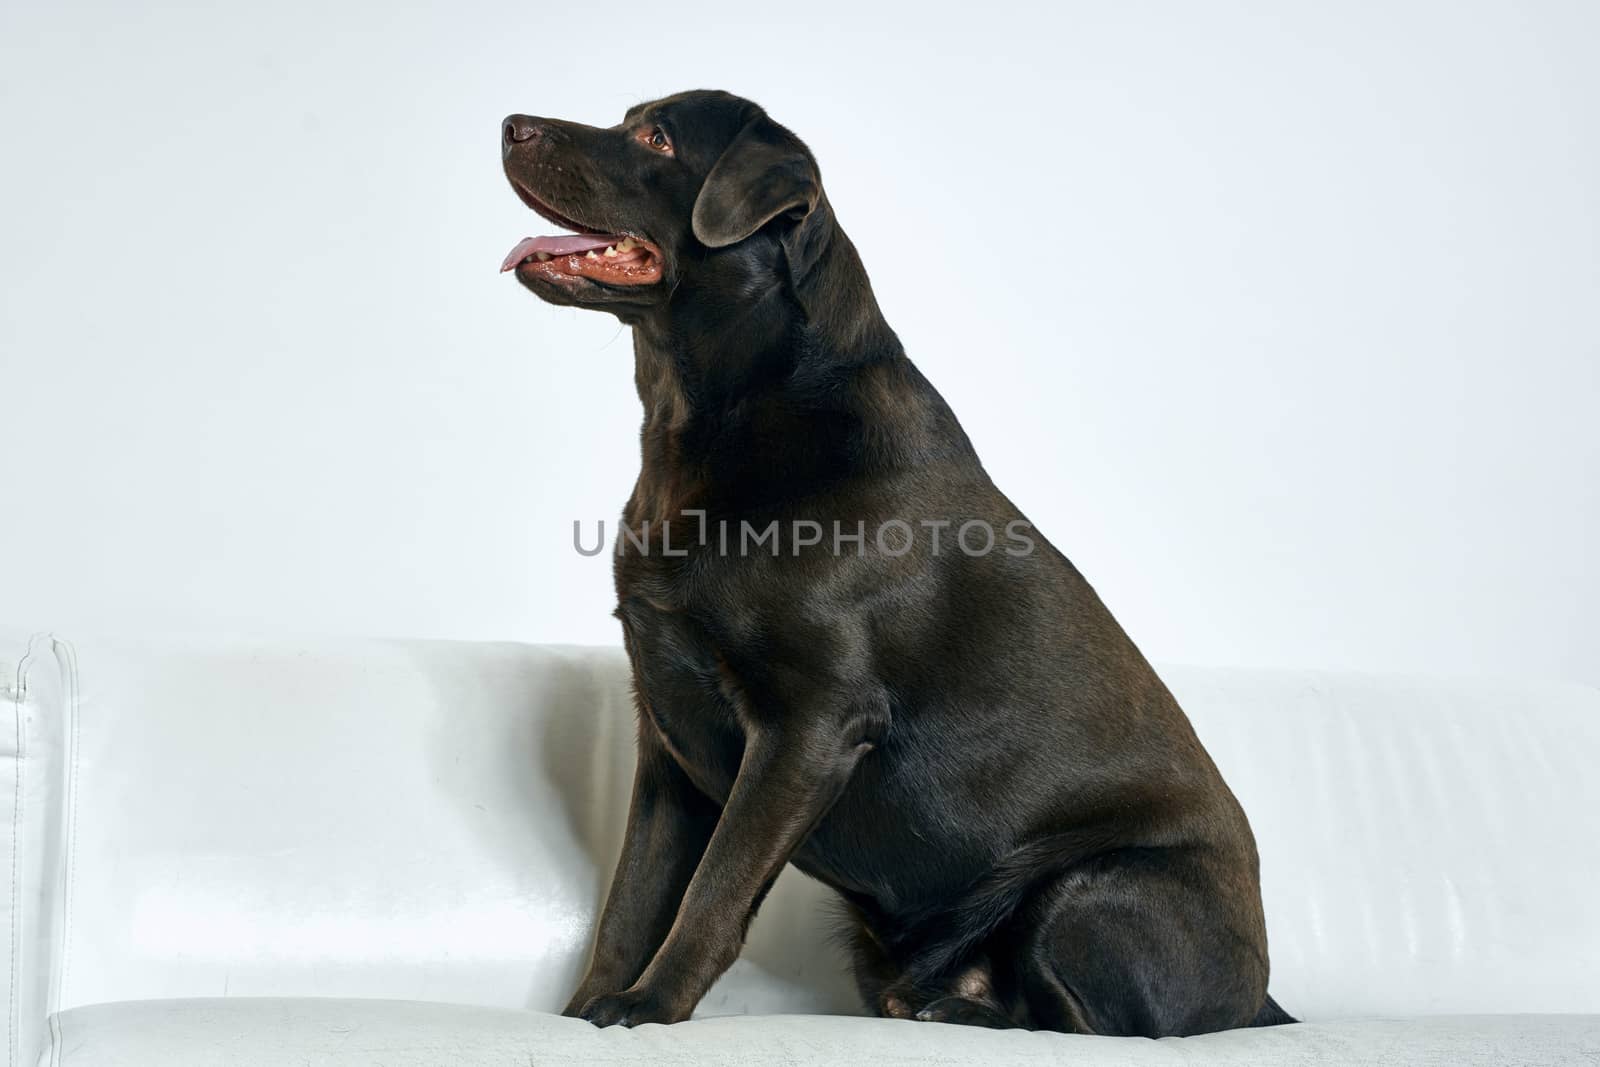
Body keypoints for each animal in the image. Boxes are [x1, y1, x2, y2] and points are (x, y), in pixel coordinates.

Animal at [492, 87, 1292, 1036]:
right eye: (627, 119)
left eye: (655, 137)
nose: (510, 125)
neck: (707, 410)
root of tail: (1262, 1000)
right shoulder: (668, 733)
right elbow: (633, 897)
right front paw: (585, 1011)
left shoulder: (810, 724)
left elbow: (712, 892)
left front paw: (649, 1008)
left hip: (1093, 886)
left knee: (1088, 1023)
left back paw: (957, 1011)